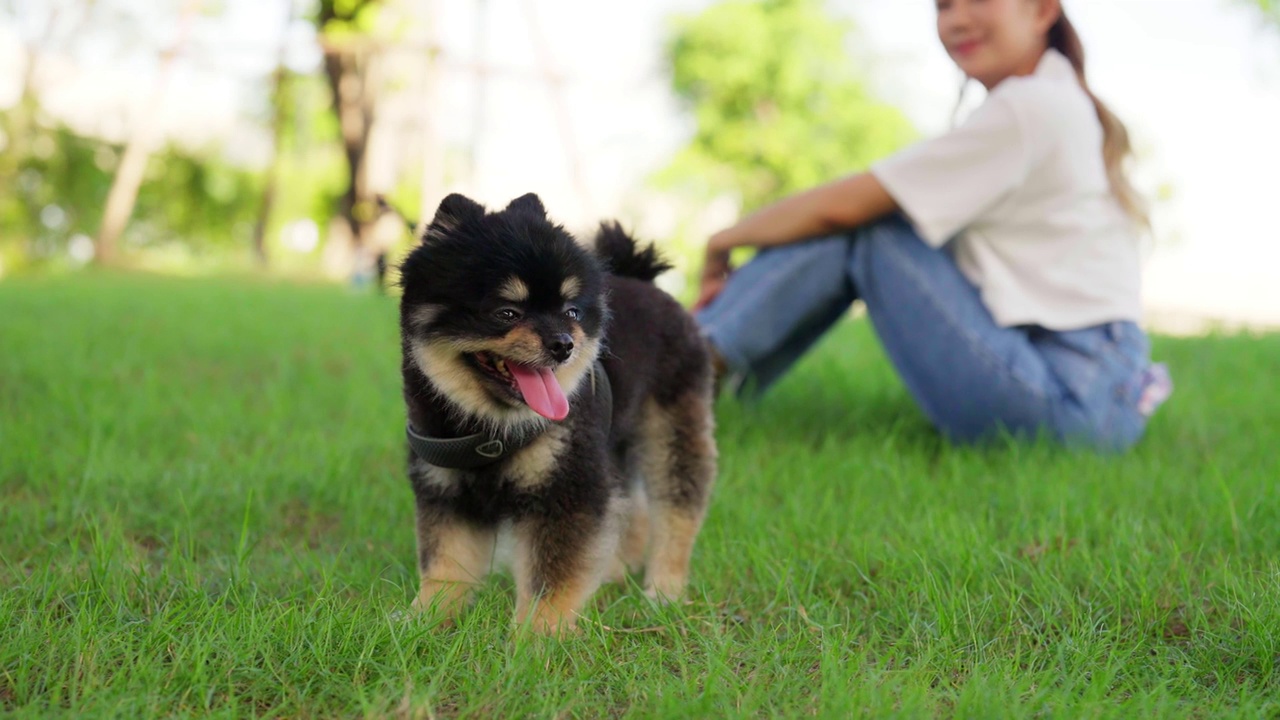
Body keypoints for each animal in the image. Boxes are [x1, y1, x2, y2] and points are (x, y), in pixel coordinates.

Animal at [396, 192, 716, 632]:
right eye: (507, 312)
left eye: (571, 312)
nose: (564, 344)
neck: (490, 430)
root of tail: (644, 281)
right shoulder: (445, 487)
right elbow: (445, 565)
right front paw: (422, 621)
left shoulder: (566, 487)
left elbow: (551, 575)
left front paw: (536, 636)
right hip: (613, 444)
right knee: (630, 506)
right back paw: (614, 573)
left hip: (669, 430)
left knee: (676, 512)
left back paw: (663, 591)